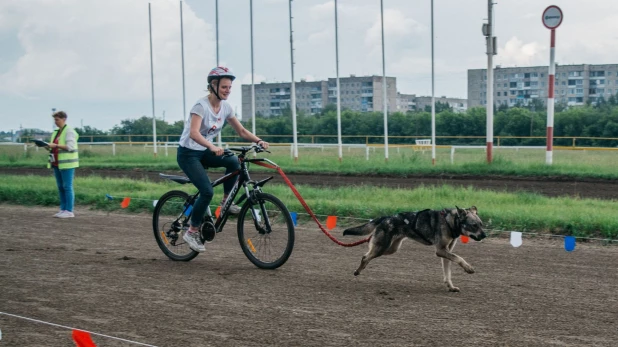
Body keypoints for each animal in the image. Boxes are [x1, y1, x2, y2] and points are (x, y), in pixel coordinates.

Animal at [344, 208, 484, 292]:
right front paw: (468, 268)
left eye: (481, 224)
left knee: (367, 254)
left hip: (391, 248)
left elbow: (447, 273)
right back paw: (357, 271)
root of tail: (385, 217)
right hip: (382, 247)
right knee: (365, 257)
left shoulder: (446, 251)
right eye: (474, 225)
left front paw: (451, 287)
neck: (450, 222)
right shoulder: (440, 251)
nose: (484, 235)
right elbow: (459, 258)